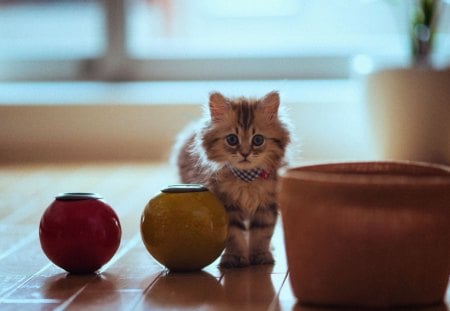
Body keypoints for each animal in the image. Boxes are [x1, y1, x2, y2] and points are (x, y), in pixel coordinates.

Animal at [172, 91, 292, 270]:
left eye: (258, 140)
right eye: (232, 139)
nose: (245, 153)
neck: (246, 180)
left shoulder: (267, 204)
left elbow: (262, 233)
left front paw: (261, 255)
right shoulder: (227, 206)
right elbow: (234, 235)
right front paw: (234, 257)